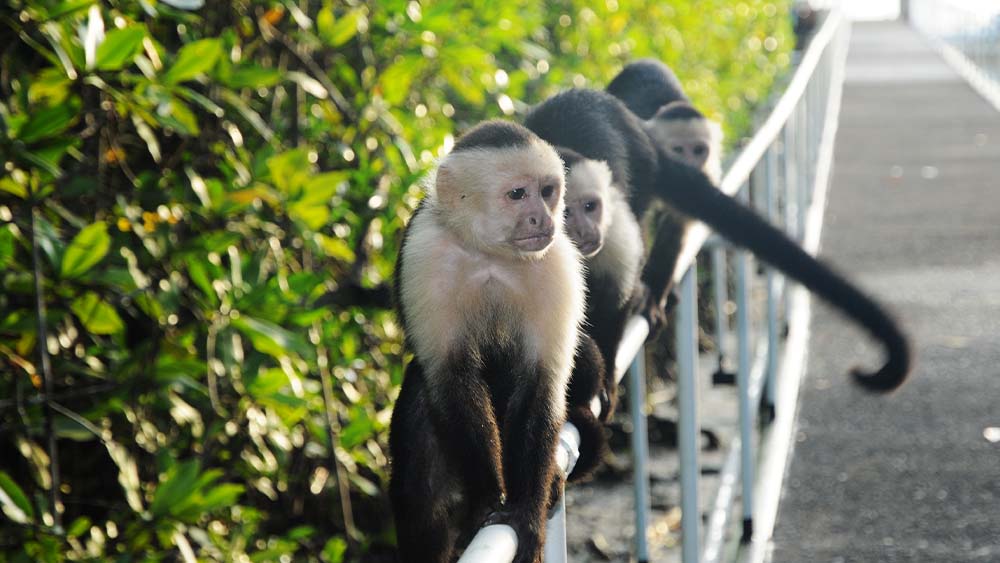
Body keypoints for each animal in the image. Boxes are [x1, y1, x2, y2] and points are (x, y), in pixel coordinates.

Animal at [390, 121, 592, 560]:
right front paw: (486, 500)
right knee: (422, 491)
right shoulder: (425, 254)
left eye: (547, 190)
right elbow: (451, 379)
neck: (490, 256)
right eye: (517, 194)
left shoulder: (558, 264)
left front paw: (526, 512)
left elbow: (540, 383)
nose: (541, 217)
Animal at [528, 90, 912, 394]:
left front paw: (603, 378)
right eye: (564, 214)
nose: (586, 233)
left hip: (640, 170)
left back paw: (648, 293)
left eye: (590, 207)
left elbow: (614, 296)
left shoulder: (614, 224)